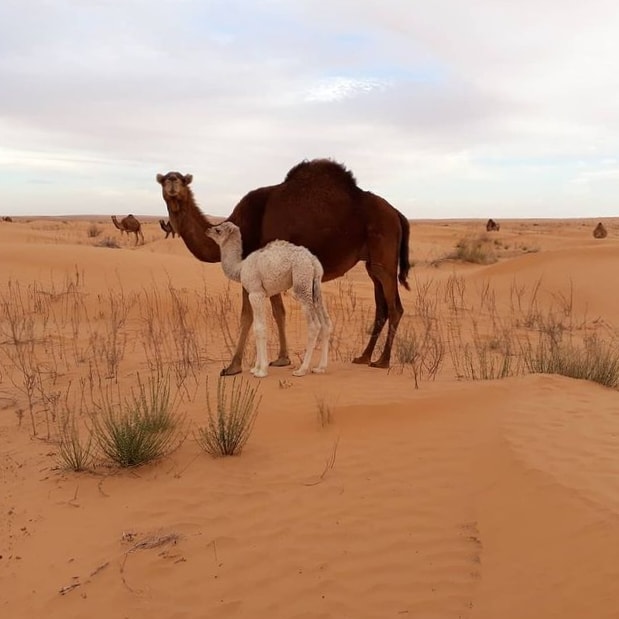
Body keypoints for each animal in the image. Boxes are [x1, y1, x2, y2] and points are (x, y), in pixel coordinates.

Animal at [207, 223, 334, 378]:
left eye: (218, 230)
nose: (207, 230)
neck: (240, 268)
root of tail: (312, 260)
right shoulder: (260, 294)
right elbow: (257, 327)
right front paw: (255, 368)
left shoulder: (255, 293)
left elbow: (259, 328)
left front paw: (261, 371)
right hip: (316, 285)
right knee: (326, 323)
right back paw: (320, 367)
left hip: (301, 281)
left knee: (314, 325)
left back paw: (301, 370)